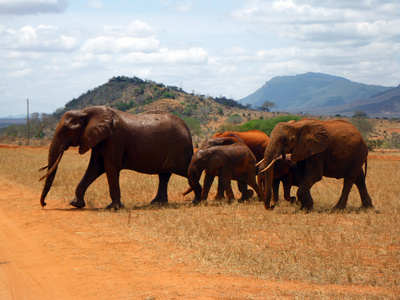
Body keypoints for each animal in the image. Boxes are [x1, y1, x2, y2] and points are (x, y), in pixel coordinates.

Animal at [39, 105, 202, 209]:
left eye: (67, 130)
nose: (44, 204)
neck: (85, 112)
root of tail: (187, 128)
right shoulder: (99, 140)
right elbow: (95, 168)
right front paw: (75, 204)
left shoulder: (113, 139)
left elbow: (110, 168)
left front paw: (114, 208)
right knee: (164, 176)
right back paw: (157, 203)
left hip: (181, 149)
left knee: (187, 171)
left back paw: (198, 202)